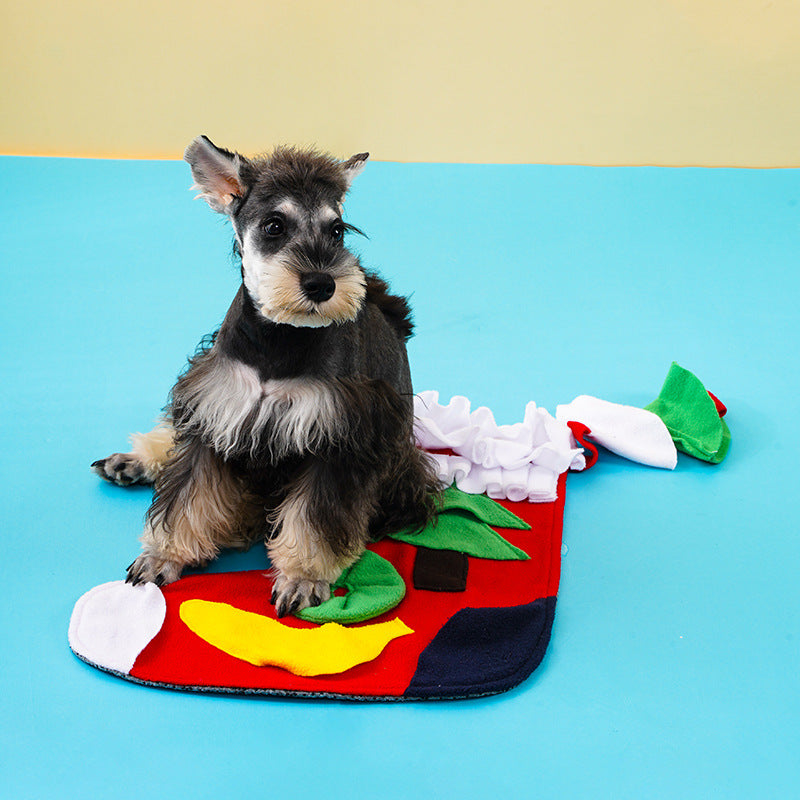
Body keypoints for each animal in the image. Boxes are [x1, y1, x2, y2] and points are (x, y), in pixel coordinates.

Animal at [96, 134, 444, 616]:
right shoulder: (213, 411)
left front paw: (302, 576)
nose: (322, 284)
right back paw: (135, 460)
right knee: (173, 437)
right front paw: (163, 554)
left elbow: (314, 516)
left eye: (337, 230)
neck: (279, 339)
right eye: (274, 225)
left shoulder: (338, 434)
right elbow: (187, 493)